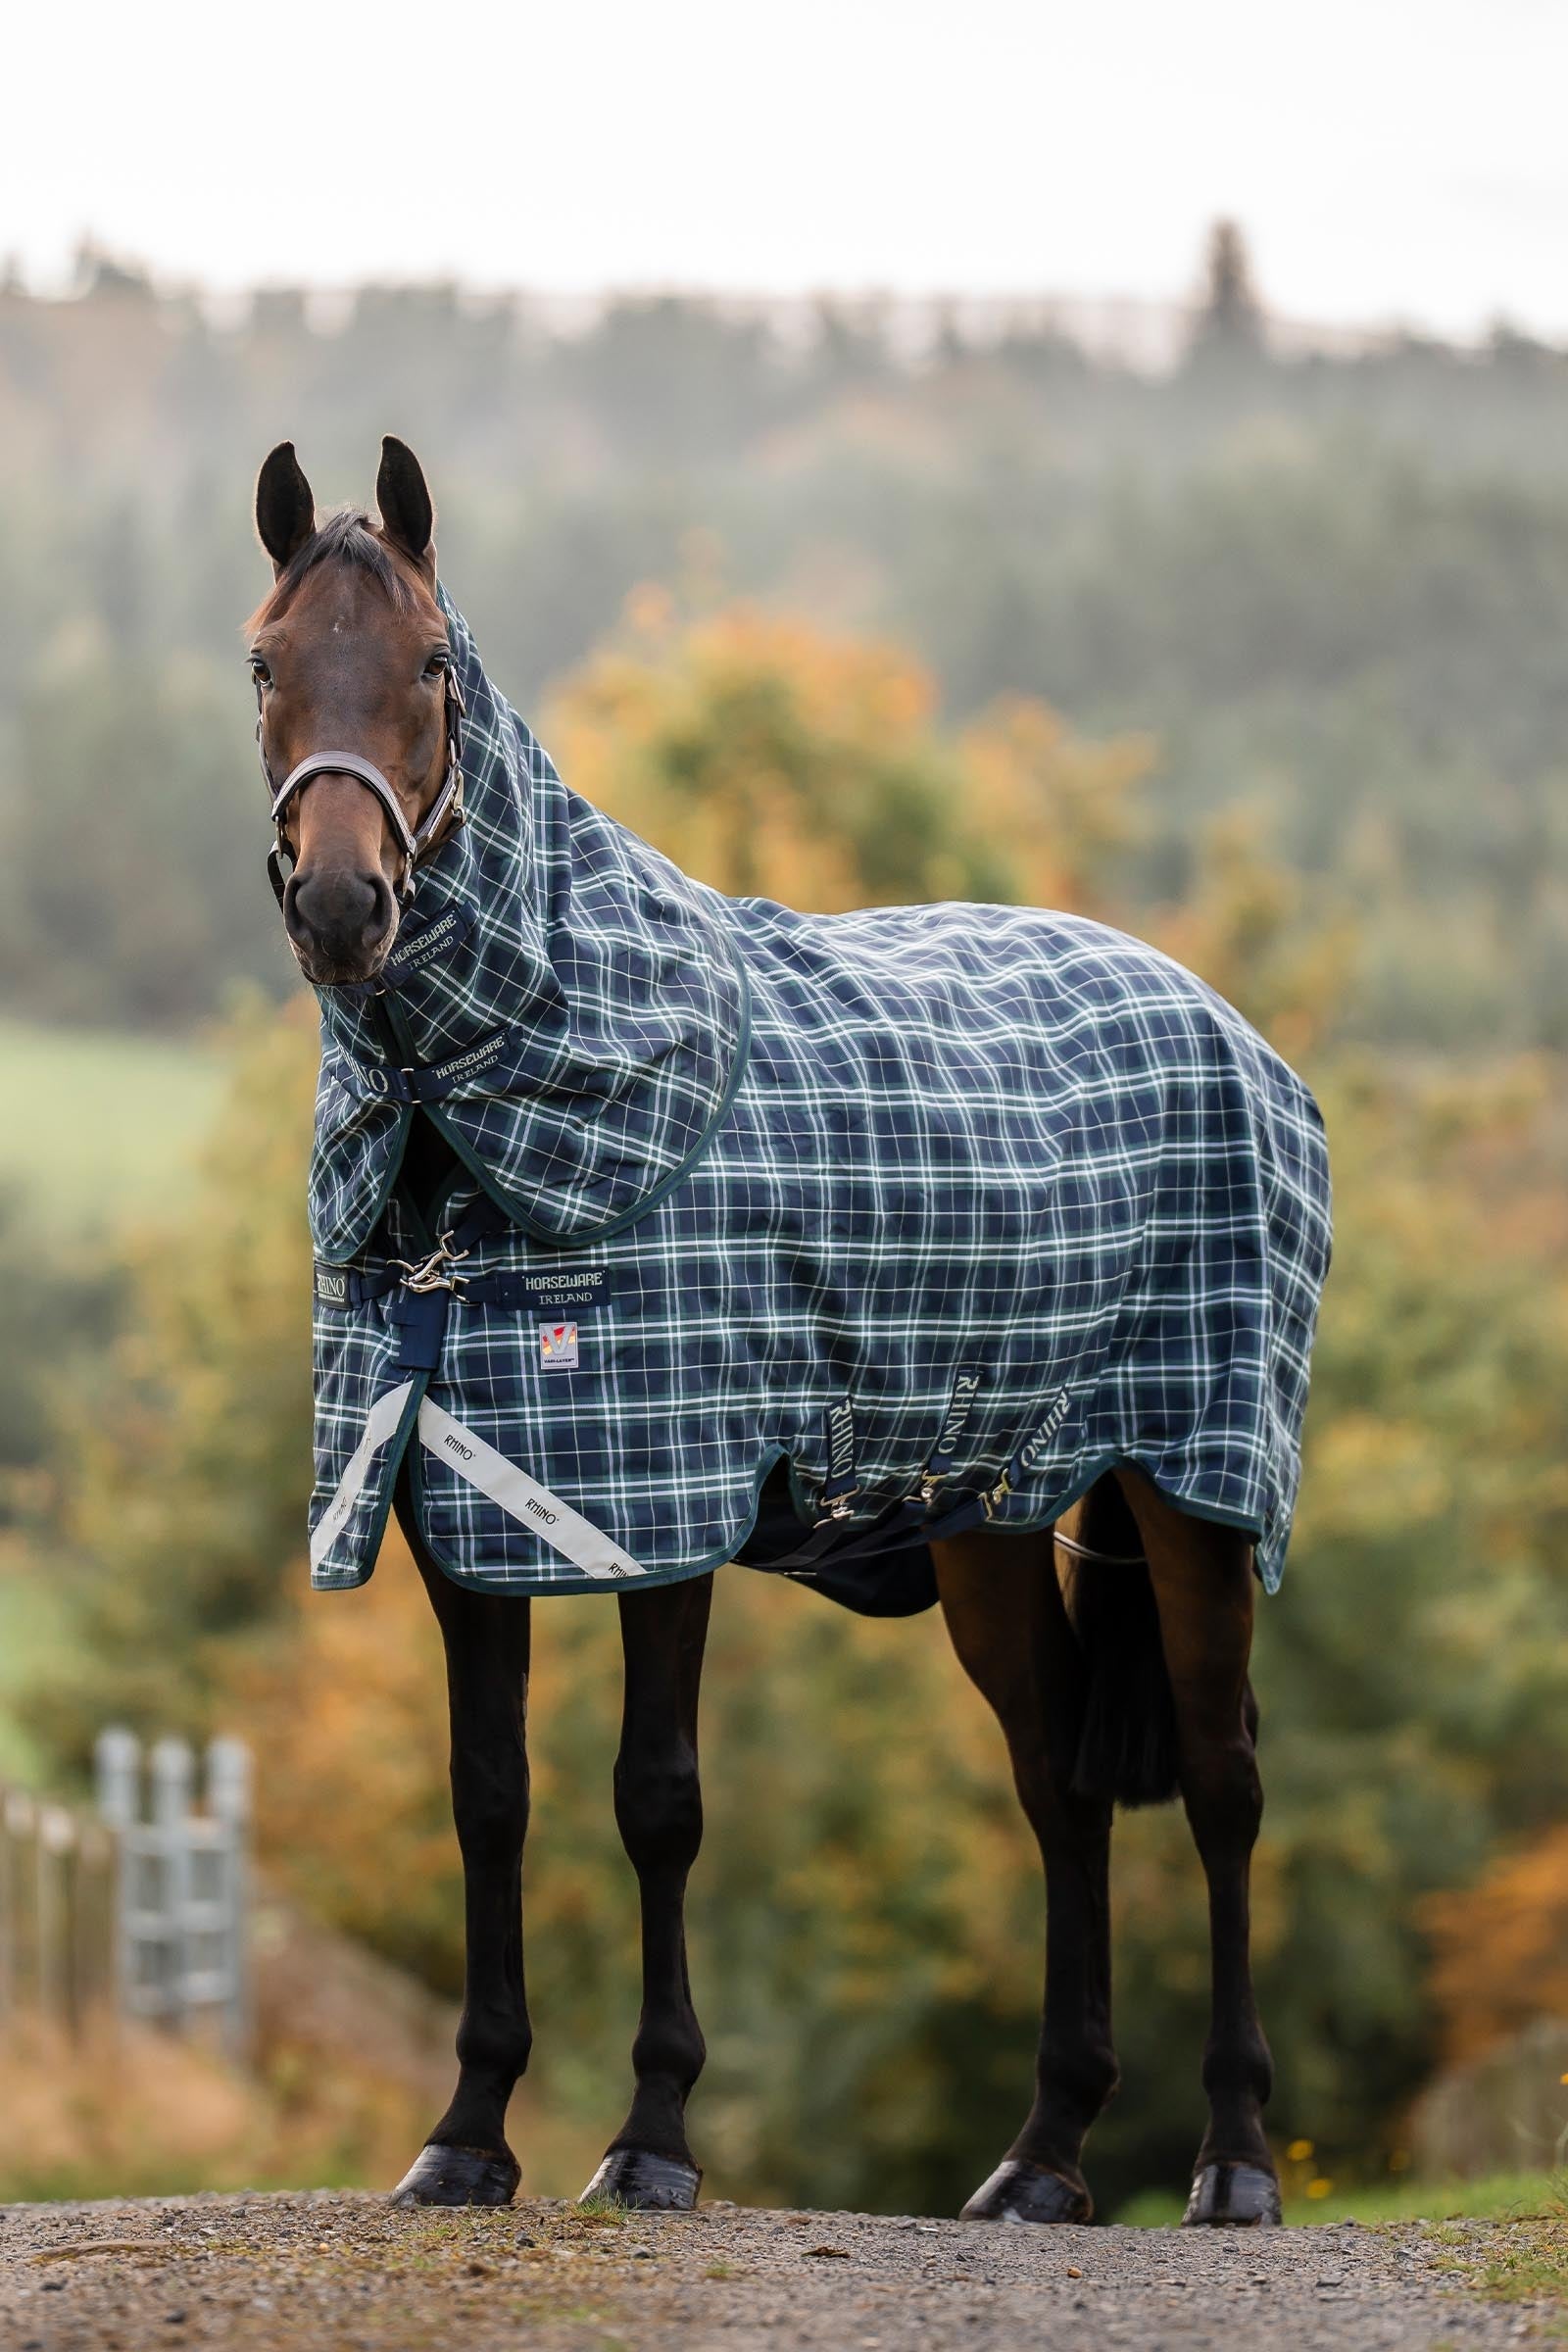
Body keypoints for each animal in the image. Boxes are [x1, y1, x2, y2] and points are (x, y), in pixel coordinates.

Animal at [246, 435, 1330, 2228]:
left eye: (431, 670)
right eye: (268, 665)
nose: (344, 901)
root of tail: (1223, 1021)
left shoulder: (661, 1507)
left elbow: (657, 1802)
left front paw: (653, 2139)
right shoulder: (457, 1500)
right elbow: (489, 1801)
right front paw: (467, 2135)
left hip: (1196, 1490)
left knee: (1227, 1778)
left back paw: (1234, 2162)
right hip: (988, 1520)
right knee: (1060, 1785)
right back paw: (1041, 2158)